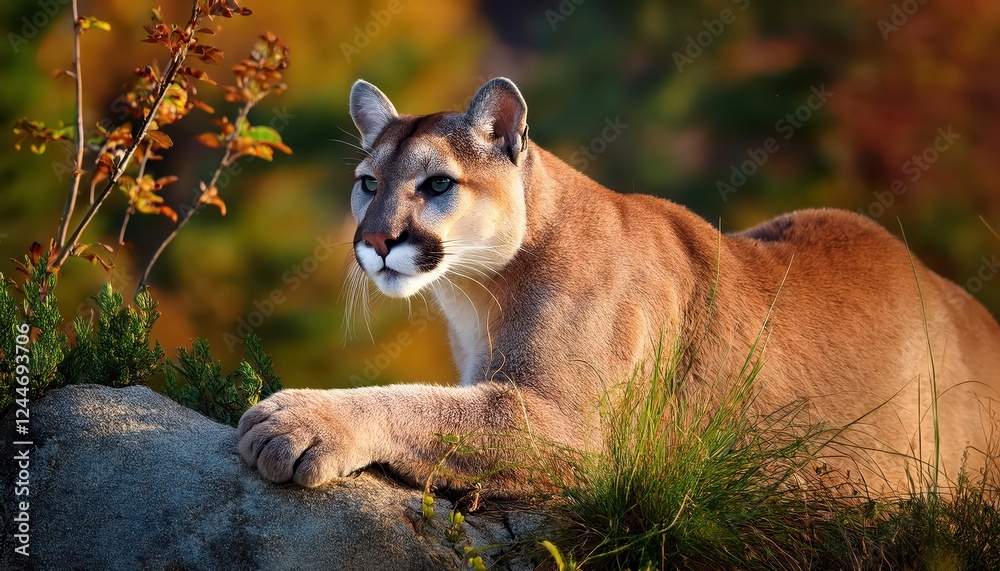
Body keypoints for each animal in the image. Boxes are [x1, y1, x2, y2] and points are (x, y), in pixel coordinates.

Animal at [237, 77, 1000, 495]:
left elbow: (420, 404)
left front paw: (298, 419)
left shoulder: (570, 425)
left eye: (437, 184)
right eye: (369, 184)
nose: (373, 242)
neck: (481, 293)